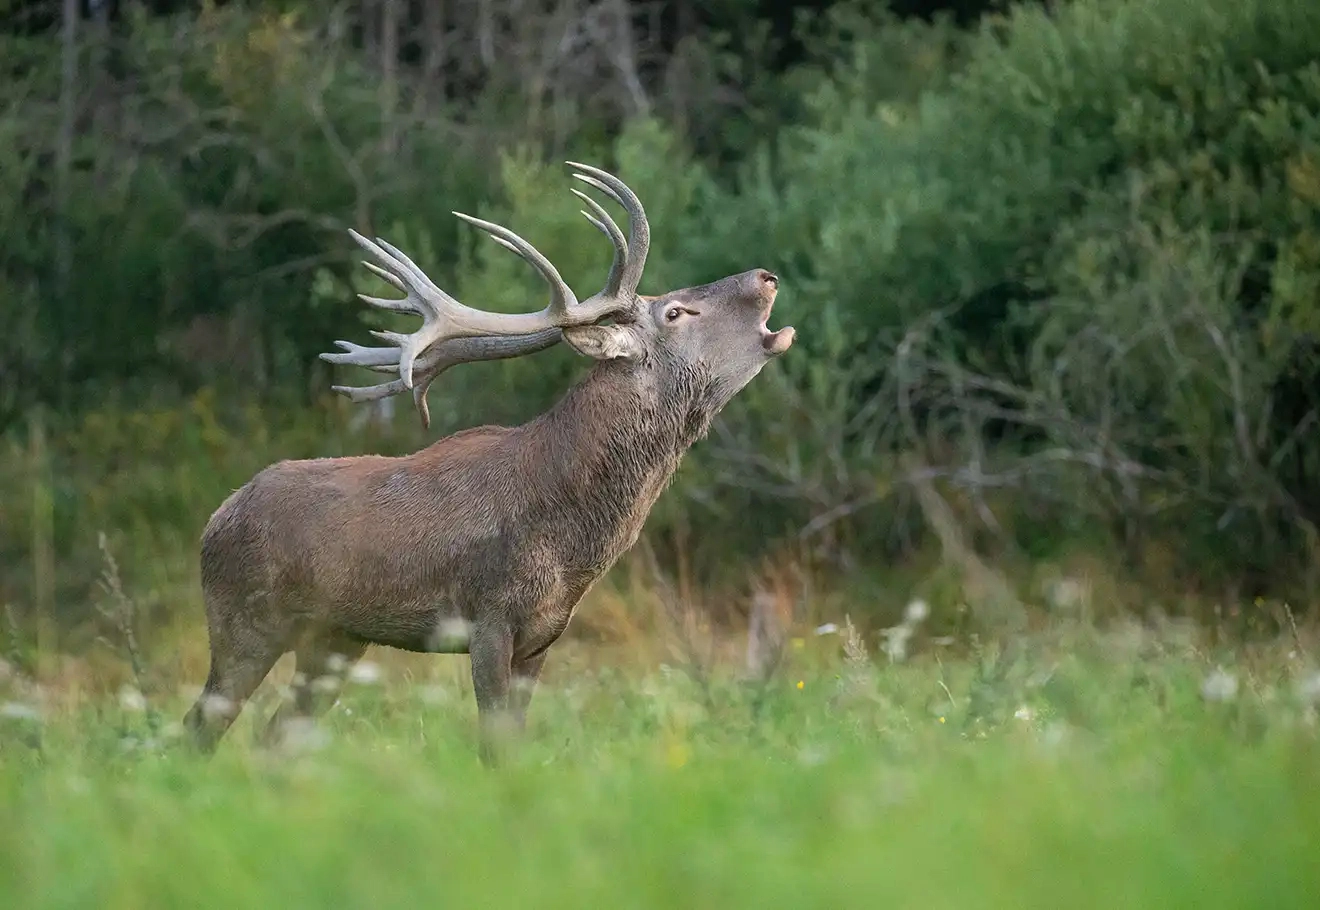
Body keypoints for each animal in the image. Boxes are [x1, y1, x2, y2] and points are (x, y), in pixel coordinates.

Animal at [182, 163, 795, 762]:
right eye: (675, 311)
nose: (766, 276)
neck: (571, 544)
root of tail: (214, 519)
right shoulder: (488, 618)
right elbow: (493, 746)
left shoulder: (543, 635)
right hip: (245, 620)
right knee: (199, 727)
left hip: (334, 640)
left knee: (275, 736)